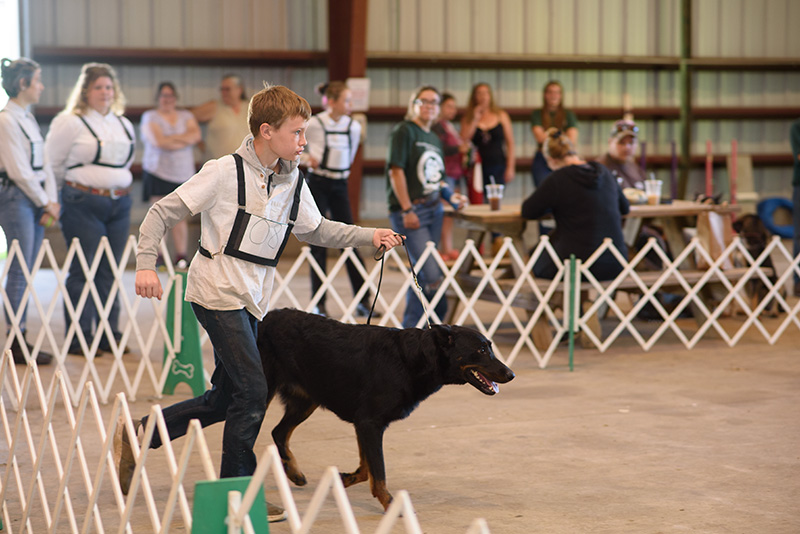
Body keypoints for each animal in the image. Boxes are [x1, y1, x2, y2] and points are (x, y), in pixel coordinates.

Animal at [260, 312, 516, 512]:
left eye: (490, 348)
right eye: (481, 350)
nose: (511, 374)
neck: (414, 359)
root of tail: (266, 317)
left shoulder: (364, 424)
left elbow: (367, 468)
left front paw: (344, 479)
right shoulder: (370, 423)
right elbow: (379, 470)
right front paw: (391, 504)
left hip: (306, 401)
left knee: (279, 432)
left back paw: (293, 472)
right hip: (267, 392)